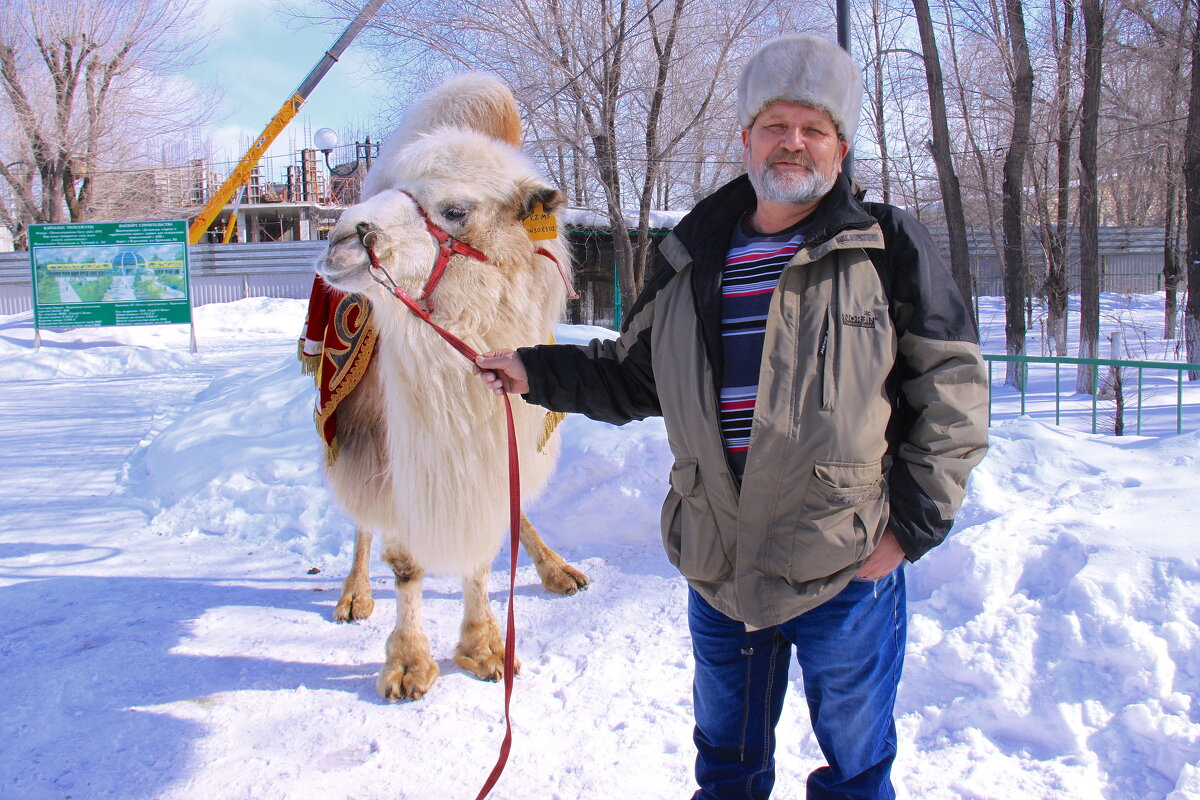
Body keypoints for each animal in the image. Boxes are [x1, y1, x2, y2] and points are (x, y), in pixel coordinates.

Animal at [314, 74, 585, 700]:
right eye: (388, 187)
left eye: (455, 209)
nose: (338, 237)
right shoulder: (395, 448)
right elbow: (406, 559)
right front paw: (408, 665)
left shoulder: (492, 437)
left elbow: (484, 544)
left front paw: (485, 648)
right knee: (361, 520)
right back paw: (353, 595)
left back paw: (558, 569)